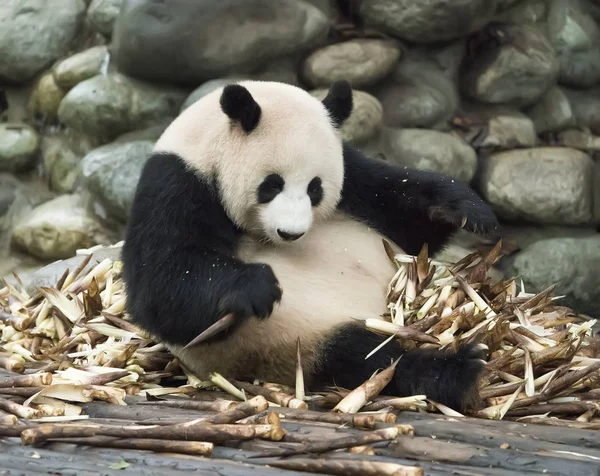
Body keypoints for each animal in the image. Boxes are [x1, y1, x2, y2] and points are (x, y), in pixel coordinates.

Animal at [120, 79, 496, 412]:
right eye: (271, 185)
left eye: (315, 188)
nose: (291, 233)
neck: (205, 144)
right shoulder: (176, 182)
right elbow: (161, 286)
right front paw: (255, 286)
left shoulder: (353, 176)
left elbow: (406, 221)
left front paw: (465, 209)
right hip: (295, 341)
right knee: (369, 360)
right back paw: (459, 370)